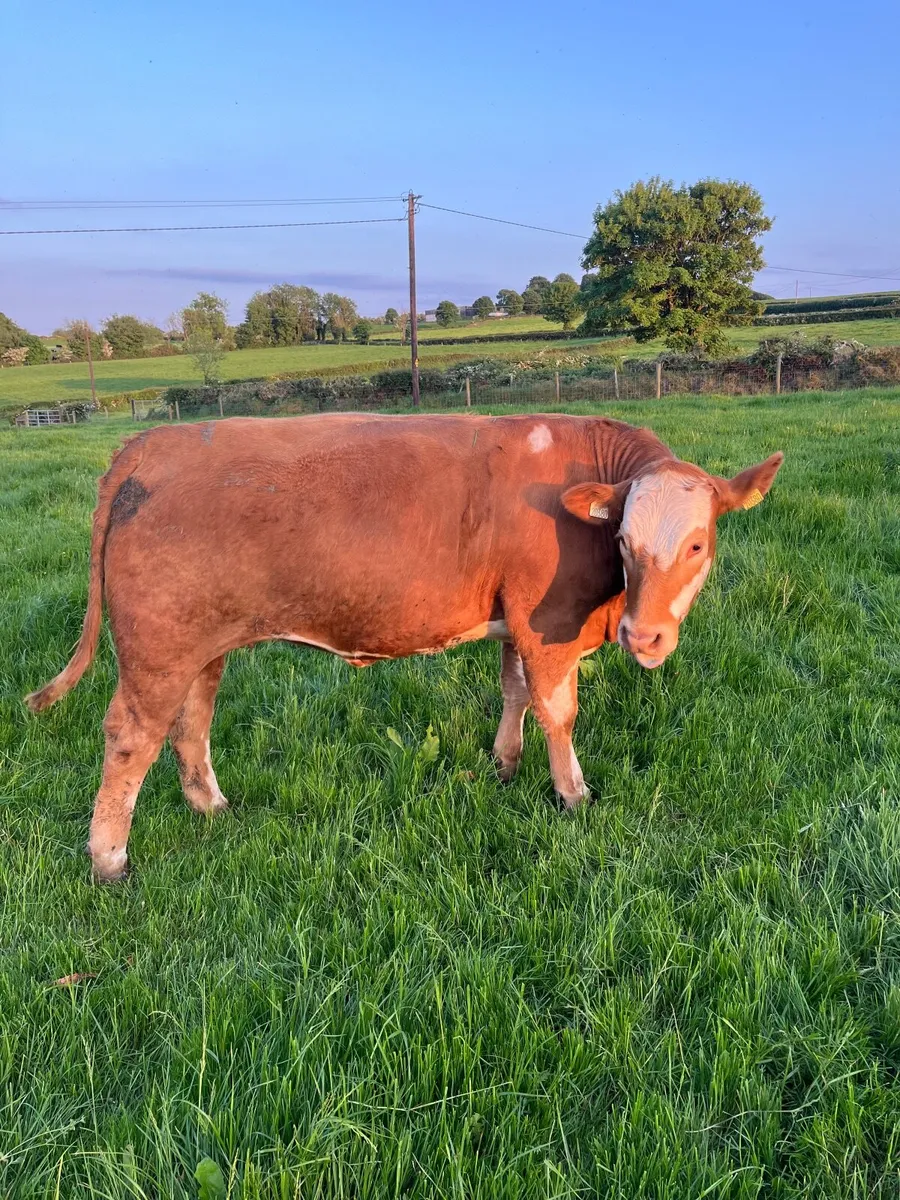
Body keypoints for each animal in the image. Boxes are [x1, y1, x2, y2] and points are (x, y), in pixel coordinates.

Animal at [26, 413, 783, 881]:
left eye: (697, 543)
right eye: (624, 540)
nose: (642, 636)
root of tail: (147, 444)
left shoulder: (515, 620)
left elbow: (513, 691)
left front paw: (505, 764)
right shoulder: (551, 622)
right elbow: (558, 711)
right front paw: (573, 794)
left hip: (204, 645)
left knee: (192, 722)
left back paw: (211, 807)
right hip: (158, 649)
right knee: (131, 737)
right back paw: (109, 860)